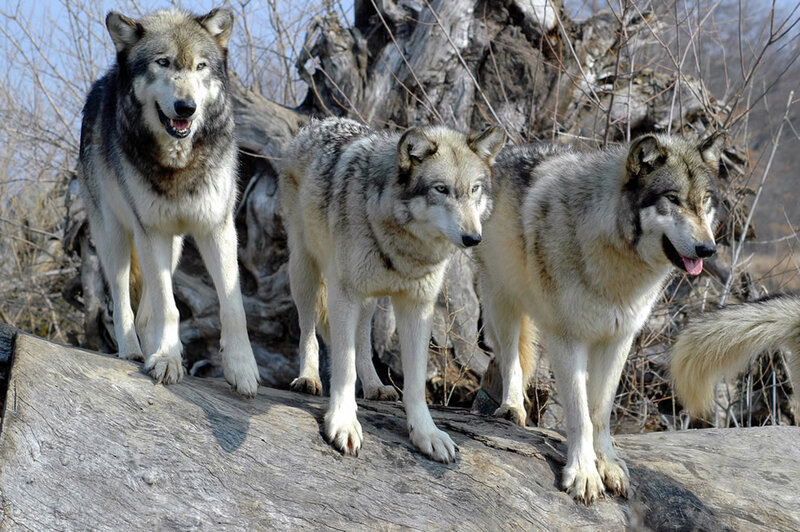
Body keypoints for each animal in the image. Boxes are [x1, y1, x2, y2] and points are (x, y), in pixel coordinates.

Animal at [77, 8, 260, 396]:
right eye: (162, 62)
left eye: (201, 66)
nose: (186, 108)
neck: (179, 165)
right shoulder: (151, 231)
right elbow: (169, 306)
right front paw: (165, 359)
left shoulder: (217, 228)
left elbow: (233, 306)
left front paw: (241, 369)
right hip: (115, 236)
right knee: (122, 299)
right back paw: (132, 351)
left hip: (172, 247)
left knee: (148, 310)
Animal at [279, 117, 504, 462]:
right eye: (441, 189)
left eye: (475, 189)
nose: (473, 238)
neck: (404, 247)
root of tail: (318, 123)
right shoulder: (344, 294)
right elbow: (344, 369)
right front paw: (343, 423)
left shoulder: (417, 306)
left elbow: (415, 382)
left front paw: (426, 434)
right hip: (305, 271)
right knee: (309, 330)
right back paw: (308, 378)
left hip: (369, 299)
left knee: (361, 341)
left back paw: (375, 386)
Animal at [474, 132, 724, 502]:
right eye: (673, 199)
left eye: (705, 201)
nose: (708, 250)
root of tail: (505, 154)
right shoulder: (568, 339)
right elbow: (579, 415)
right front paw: (584, 473)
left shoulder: (618, 339)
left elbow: (600, 412)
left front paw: (607, 464)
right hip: (501, 302)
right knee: (509, 358)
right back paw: (512, 407)